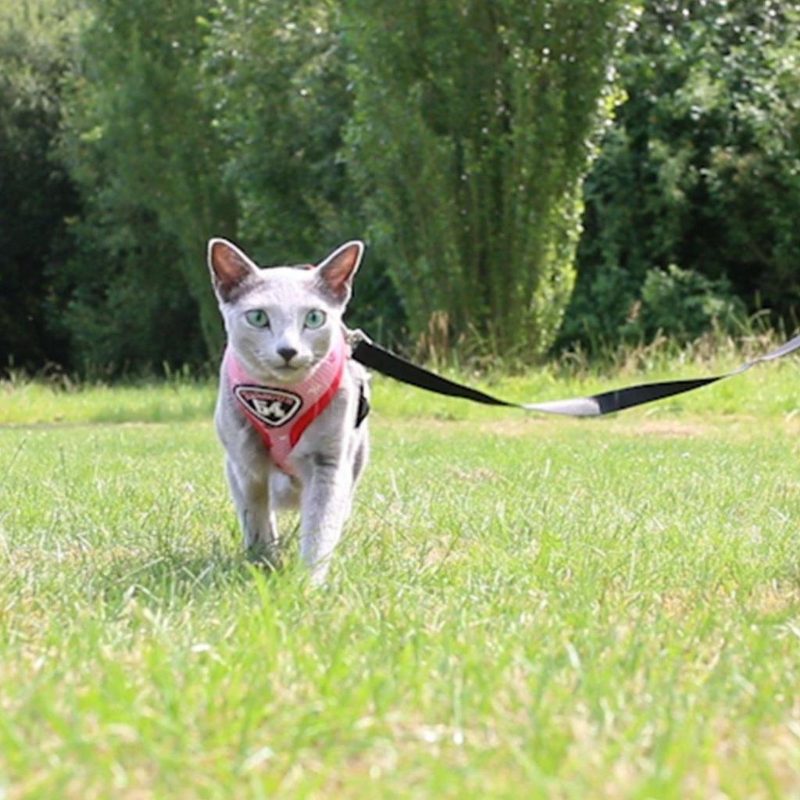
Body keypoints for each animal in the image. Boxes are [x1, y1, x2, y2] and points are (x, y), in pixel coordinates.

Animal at [206, 236, 368, 580]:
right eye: (257, 317)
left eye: (314, 318)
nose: (288, 350)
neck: (280, 395)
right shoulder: (246, 463)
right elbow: (256, 519)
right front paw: (263, 565)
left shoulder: (329, 462)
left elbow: (321, 526)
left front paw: (308, 582)